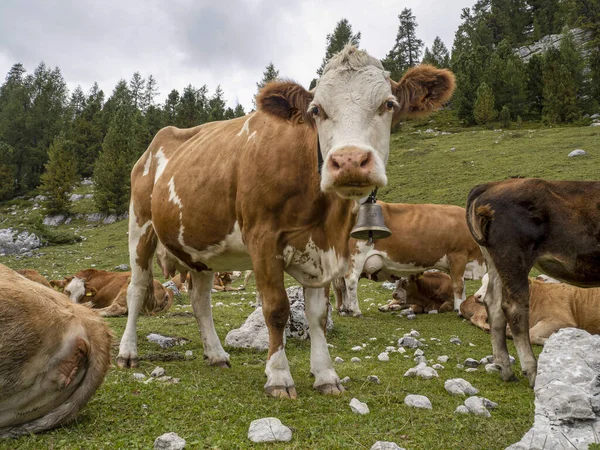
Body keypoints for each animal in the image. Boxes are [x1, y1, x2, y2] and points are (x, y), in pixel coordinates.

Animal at [117, 45, 454, 400]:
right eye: (317, 110)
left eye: (388, 104)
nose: (349, 161)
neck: (322, 213)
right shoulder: (263, 239)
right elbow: (276, 309)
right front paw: (279, 377)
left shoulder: (324, 249)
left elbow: (318, 316)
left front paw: (326, 375)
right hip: (140, 226)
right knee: (137, 288)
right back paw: (128, 352)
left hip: (200, 246)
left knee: (200, 300)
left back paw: (216, 354)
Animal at [338, 202, 482, 318]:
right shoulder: (458, 255)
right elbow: (458, 285)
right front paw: (458, 309)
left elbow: (462, 286)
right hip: (357, 256)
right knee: (351, 281)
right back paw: (356, 311)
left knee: (343, 285)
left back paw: (346, 309)